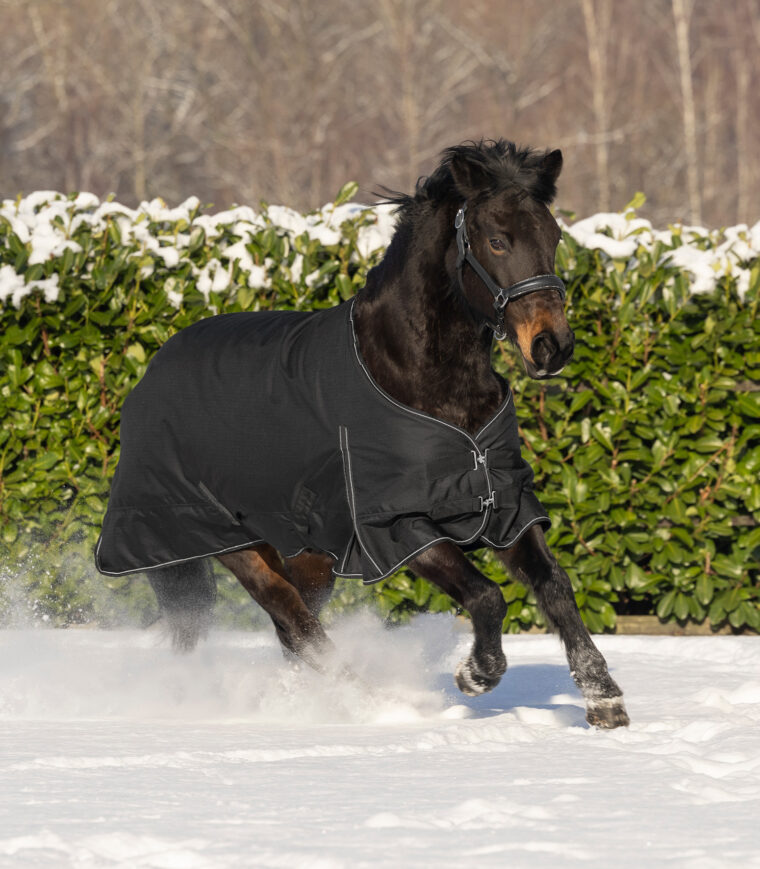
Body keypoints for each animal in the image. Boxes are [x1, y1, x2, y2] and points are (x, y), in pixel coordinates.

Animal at [95, 141, 628, 724]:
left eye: (554, 237)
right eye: (497, 239)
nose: (552, 347)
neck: (418, 373)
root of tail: (148, 378)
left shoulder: (502, 504)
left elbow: (555, 586)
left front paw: (604, 698)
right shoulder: (397, 525)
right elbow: (487, 595)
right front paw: (477, 674)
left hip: (310, 554)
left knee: (292, 628)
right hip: (225, 539)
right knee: (295, 622)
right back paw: (369, 703)